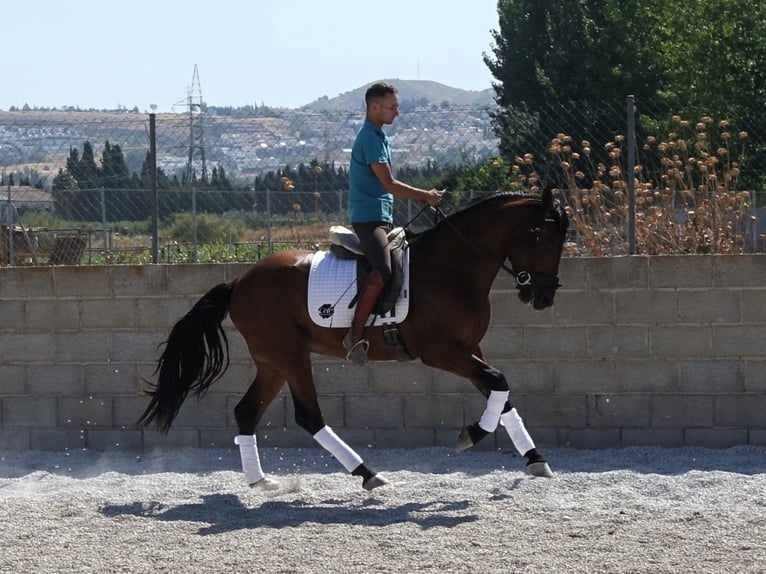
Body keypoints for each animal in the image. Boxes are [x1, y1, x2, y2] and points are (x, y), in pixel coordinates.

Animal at [137, 188, 569, 491]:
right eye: (546, 238)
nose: (544, 296)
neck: (454, 267)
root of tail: (239, 281)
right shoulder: (441, 352)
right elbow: (499, 382)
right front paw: (471, 435)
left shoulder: (470, 348)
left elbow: (502, 393)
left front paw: (536, 459)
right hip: (290, 355)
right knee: (309, 416)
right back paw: (367, 473)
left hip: (272, 362)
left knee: (246, 412)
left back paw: (260, 481)